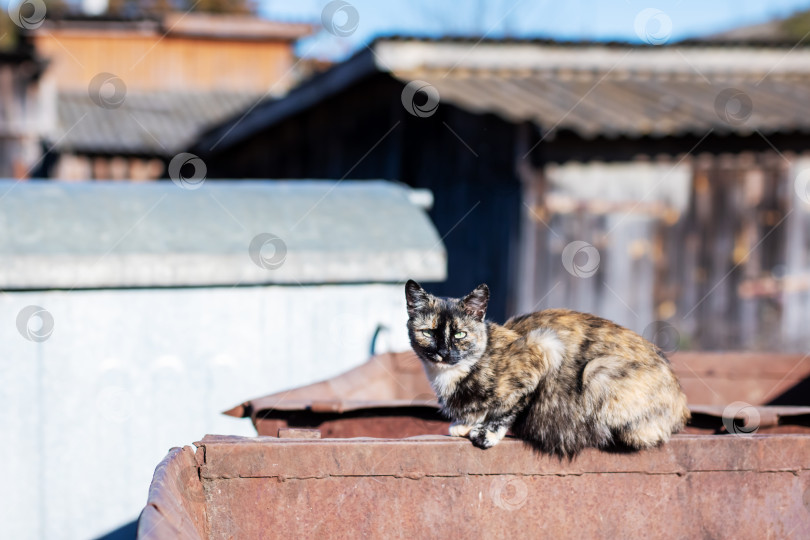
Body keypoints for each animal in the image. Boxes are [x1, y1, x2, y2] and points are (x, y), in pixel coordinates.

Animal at [404, 280, 688, 458]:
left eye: (460, 334)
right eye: (428, 332)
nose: (443, 352)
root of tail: (681, 405)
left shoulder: (544, 347)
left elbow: (513, 405)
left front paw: (487, 431)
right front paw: (465, 423)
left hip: (597, 371)